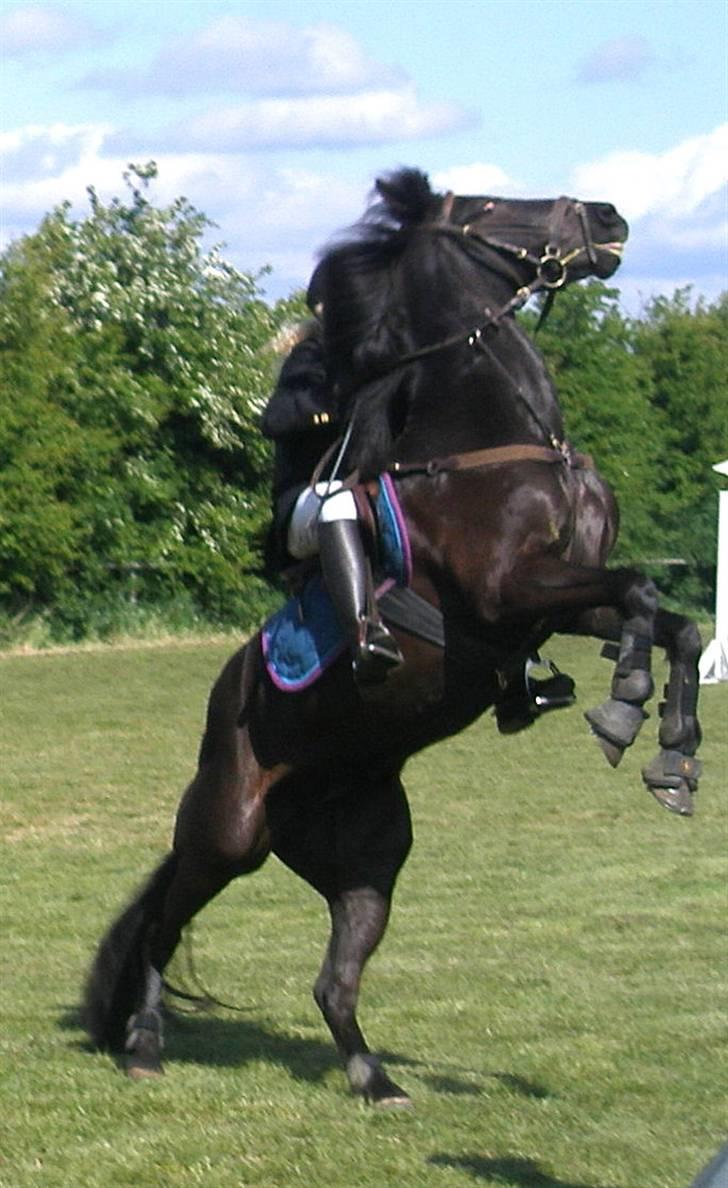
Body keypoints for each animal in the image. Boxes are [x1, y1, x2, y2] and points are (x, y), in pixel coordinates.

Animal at [84, 169, 702, 1106]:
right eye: (490, 207)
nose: (606, 216)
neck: (503, 436)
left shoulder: (557, 605)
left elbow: (673, 620)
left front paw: (673, 753)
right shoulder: (508, 592)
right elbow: (637, 595)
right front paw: (624, 707)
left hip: (370, 853)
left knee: (333, 978)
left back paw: (374, 1079)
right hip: (229, 829)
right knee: (162, 922)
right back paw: (147, 1041)